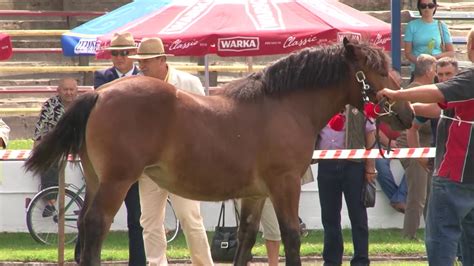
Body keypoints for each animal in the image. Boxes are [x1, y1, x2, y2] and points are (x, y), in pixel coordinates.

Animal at [24, 38, 412, 266]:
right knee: (94, 225)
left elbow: (246, 238)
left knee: (83, 227)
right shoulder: (284, 185)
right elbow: (290, 235)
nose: (407, 113)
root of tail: (99, 94)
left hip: (95, 179)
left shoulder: (255, 194)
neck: (285, 105)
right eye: (378, 70)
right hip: (117, 182)